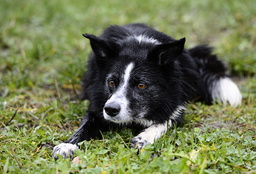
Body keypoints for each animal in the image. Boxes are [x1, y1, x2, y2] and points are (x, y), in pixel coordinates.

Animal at [52, 23, 242, 159]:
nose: (111, 110)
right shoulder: (98, 106)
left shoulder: (176, 104)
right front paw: (68, 145)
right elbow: (84, 127)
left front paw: (144, 138)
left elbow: (165, 120)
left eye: (141, 85)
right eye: (111, 82)